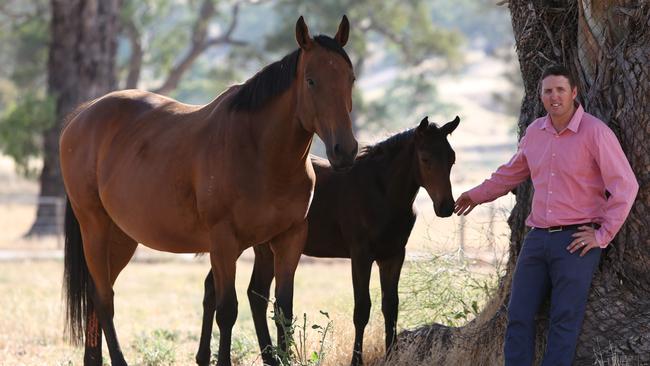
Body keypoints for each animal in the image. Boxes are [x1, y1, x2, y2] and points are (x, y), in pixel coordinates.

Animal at [60, 15, 354, 366]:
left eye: (350, 78)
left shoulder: (289, 238)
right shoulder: (224, 241)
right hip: (95, 227)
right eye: (311, 81)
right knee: (104, 298)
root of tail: (81, 116)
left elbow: (283, 309)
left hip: (121, 237)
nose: (345, 150)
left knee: (96, 294)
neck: (259, 151)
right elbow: (227, 310)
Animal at [196, 116, 456, 364]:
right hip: (246, 245)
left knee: (242, 291)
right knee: (239, 291)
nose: (446, 207)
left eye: (451, 159)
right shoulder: (361, 256)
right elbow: (362, 309)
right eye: (425, 159)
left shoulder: (393, 256)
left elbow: (391, 307)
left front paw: (392, 356)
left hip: (259, 247)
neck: (379, 191)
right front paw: (356, 360)